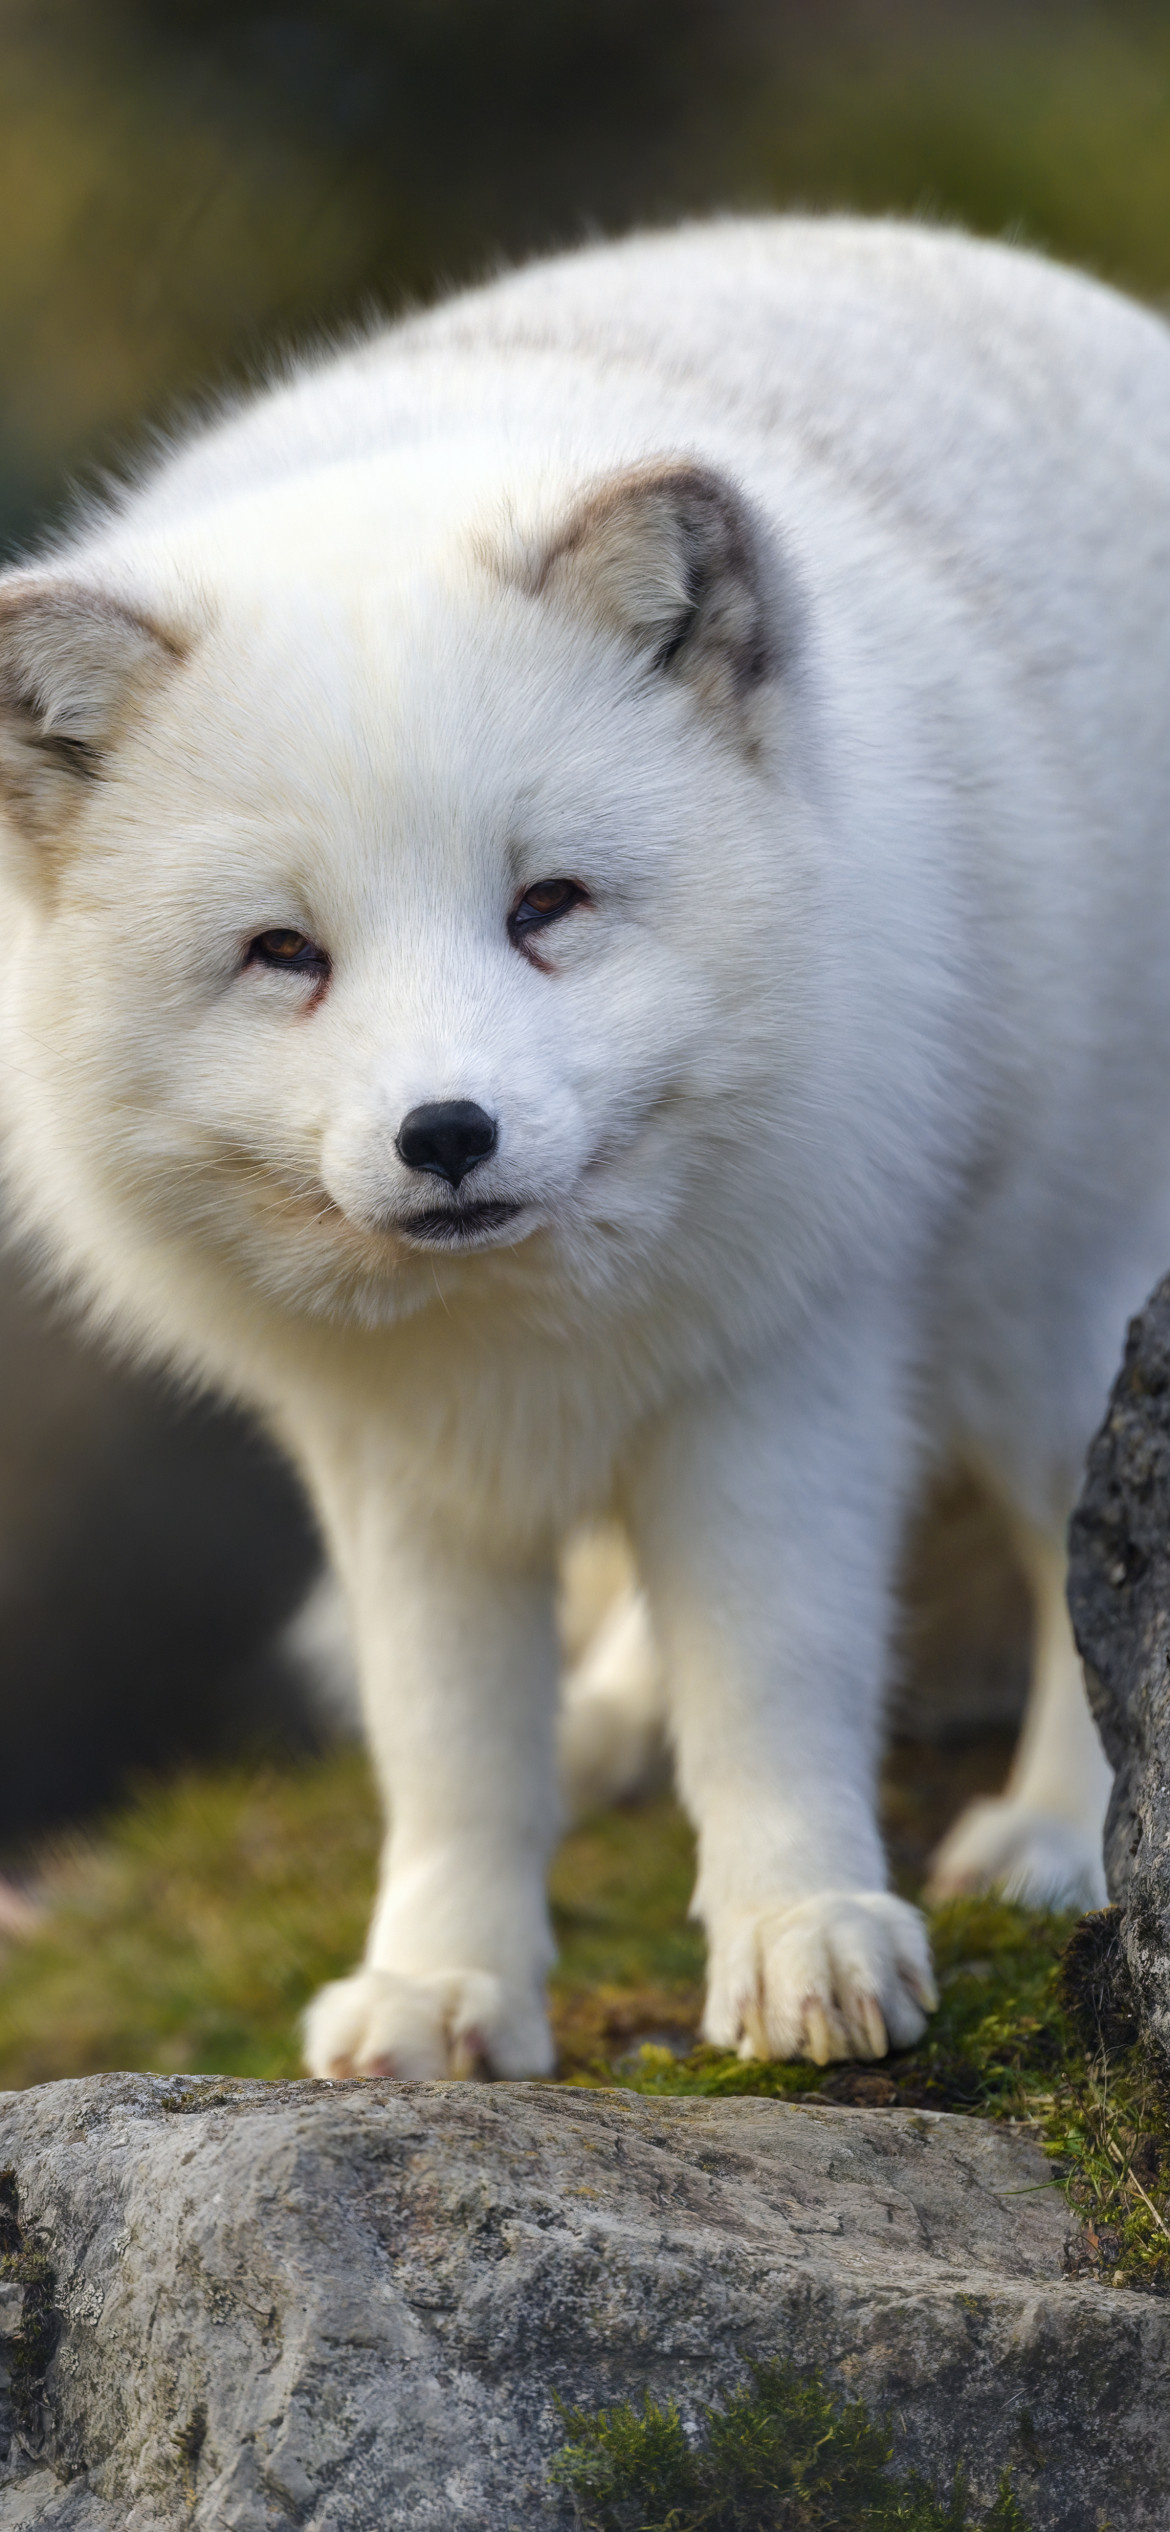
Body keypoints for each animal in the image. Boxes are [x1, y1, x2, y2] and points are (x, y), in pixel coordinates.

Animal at [0, 217, 1154, 2076]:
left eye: (546, 906)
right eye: (284, 953)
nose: (445, 1131)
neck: (521, 1336)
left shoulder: (784, 1372)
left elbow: (774, 1682)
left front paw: (804, 1938)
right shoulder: (395, 1463)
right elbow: (451, 1752)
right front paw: (442, 1982)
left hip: (1044, 1305)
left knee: (1086, 1553)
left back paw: (1055, 1834)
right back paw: (615, 1718)